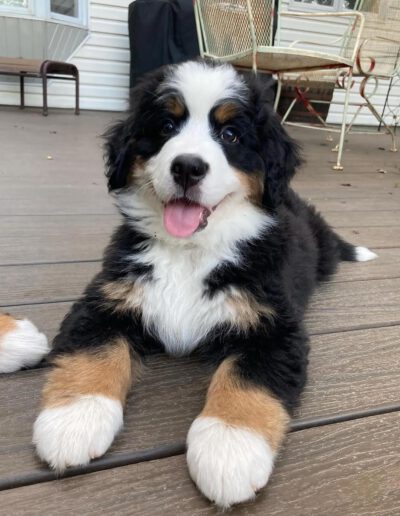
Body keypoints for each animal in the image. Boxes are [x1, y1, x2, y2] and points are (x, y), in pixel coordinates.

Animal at [0, 60, 376, 508]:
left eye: (230, 135)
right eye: (166, 126)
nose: (187, 167)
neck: (190, 251)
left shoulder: (274, 326)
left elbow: (248, 378)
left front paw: (229, 450)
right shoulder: (107, 299)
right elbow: (93, 353)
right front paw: (74, 419)